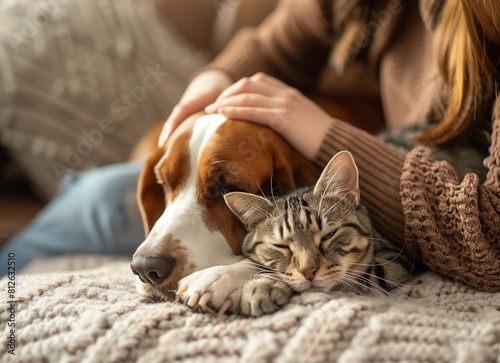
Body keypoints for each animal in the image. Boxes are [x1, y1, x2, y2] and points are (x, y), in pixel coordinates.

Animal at [225, 151, 412, 316]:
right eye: (281, 246)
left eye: (329, 235)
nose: (309, 271)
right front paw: (265, 283)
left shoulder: (395, 258)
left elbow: (358, 276)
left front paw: (265, 285)